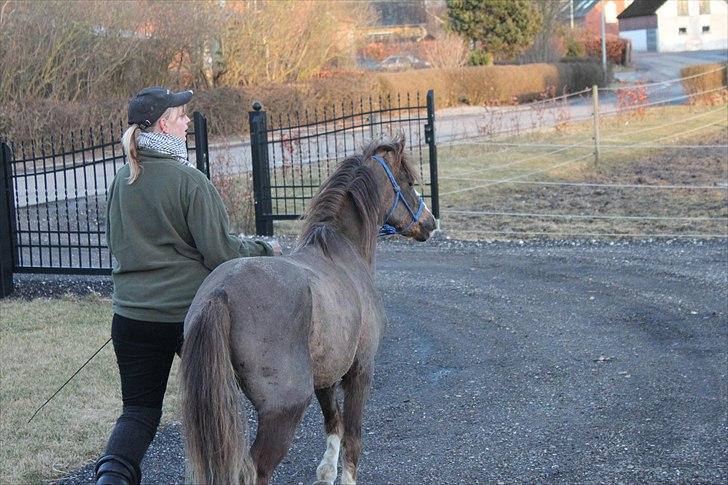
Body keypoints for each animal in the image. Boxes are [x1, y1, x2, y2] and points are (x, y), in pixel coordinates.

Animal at [180, 134, 436, 485]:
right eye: (409, 182)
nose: (431, 223)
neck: (342, 252)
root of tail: (221, 293)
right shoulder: (361, 371)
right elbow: (353, 438)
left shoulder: (325, 376)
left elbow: (334, 423)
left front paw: (326, 473)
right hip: (283, 411)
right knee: (256, 469)